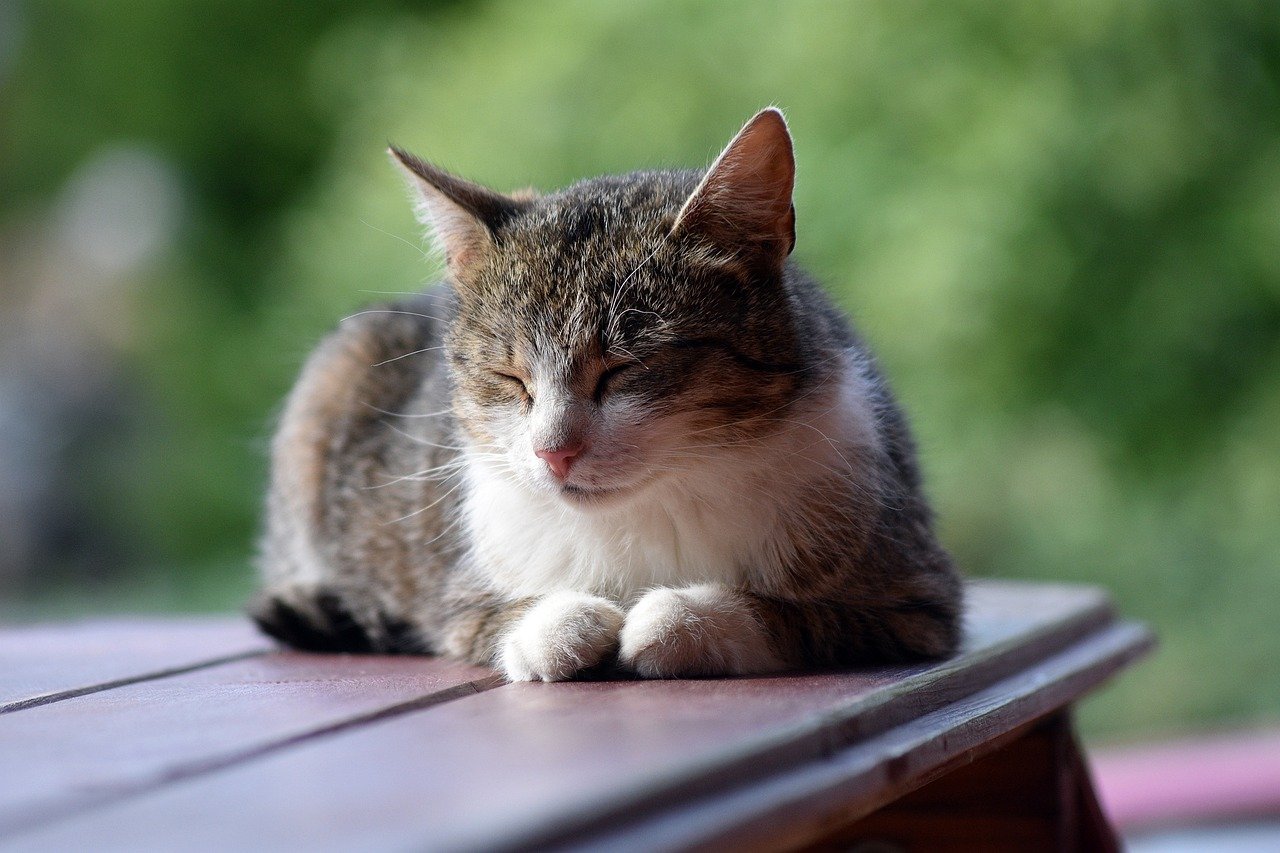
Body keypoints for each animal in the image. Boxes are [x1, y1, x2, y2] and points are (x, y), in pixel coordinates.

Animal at [249, 108, 962, 676]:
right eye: (510, 378)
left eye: (623, 368)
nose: (553, 452)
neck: (649, 511)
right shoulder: (458, 600)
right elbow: (493, 622)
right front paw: (564, 624)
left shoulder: (915, 603)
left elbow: (795, 619)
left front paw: (674, 618)